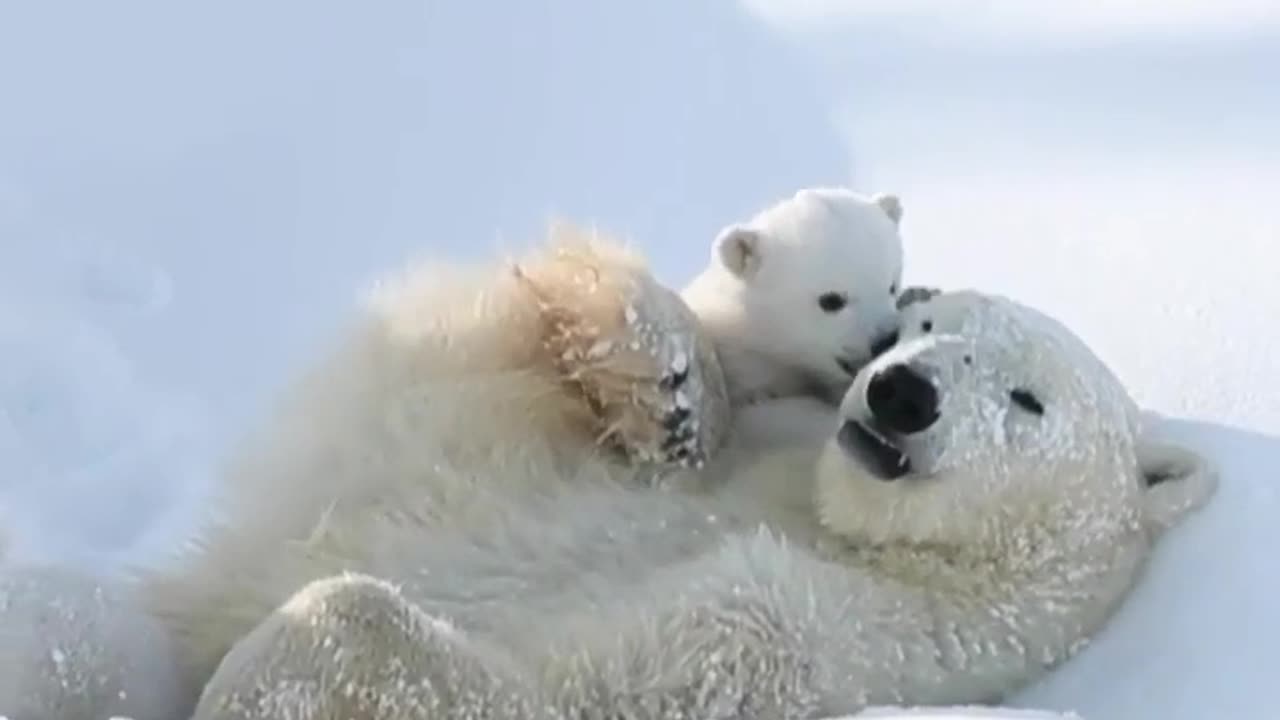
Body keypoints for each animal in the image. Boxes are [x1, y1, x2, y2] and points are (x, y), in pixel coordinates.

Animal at [185, 288, 1213, 712]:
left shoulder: (816, 636)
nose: (900, 392)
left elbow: (543, 687)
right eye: (921, 324)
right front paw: (658, 355)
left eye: (1026, 398)